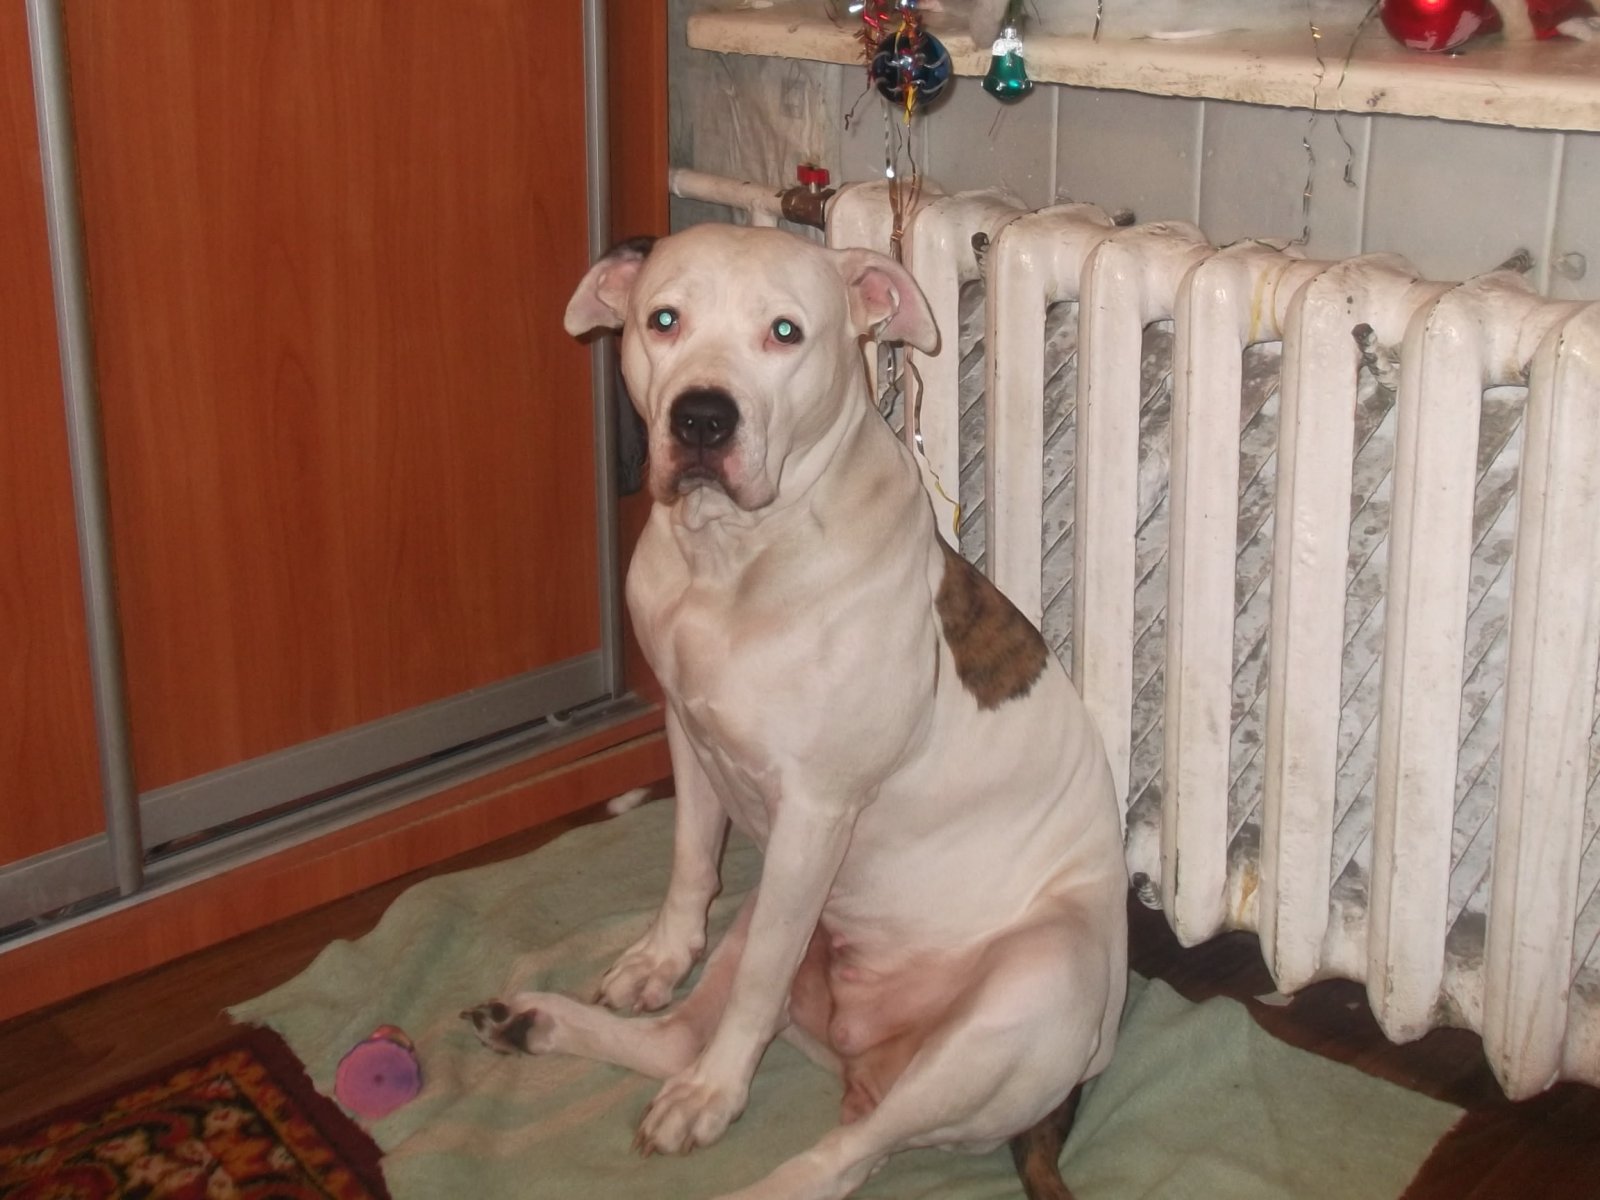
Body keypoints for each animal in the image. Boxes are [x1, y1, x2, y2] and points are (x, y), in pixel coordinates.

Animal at [465, 223, 1127, 1200]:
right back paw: (536, 1023)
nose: (702, 418)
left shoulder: (815, 813)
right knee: (680, 1039)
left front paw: (715, 1095)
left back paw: (727, 1120)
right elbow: (689, 863)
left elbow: (754, 987)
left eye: (786, 333)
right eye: (663, 320)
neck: (735, 556)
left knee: (846, 1152)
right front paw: (659, 958)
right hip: (780, 907)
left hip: (1031, 983)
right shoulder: (689, 735)